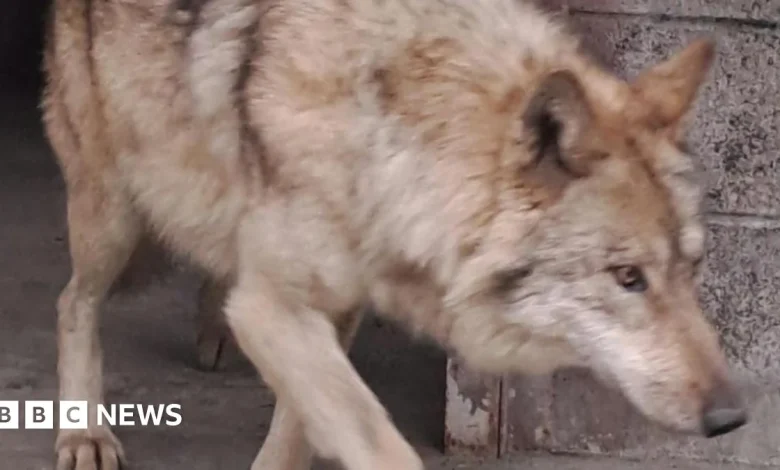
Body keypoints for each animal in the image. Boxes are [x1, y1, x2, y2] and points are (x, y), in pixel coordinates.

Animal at [42, 0, 747, 468]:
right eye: (628, 278)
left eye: (693, 269)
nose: (730, 417)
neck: (389, 136)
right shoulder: (277, 308)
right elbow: (372, 436)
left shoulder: (332, 309)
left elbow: (300, 427)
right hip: (113, 212)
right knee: (73, 302)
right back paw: (83, 437)